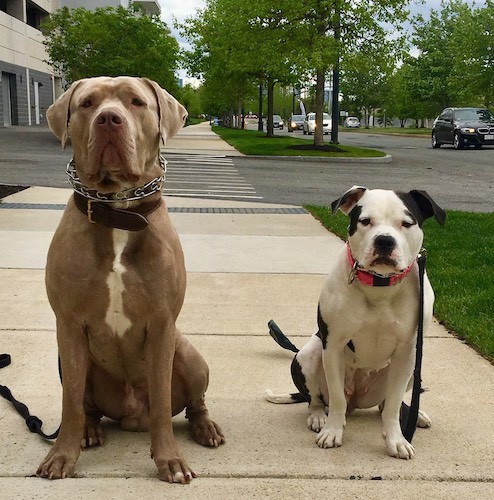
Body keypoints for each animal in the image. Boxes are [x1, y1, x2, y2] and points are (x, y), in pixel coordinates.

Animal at [268, 186, 446, 458]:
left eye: (407, 223)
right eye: (365, 221)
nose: (384, 241)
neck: (380, 285)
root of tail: (359, 400)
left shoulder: (408, 350)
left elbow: (393, 404)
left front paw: (396, 440)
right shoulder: (333, 345)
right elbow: (337, 398)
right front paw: (332, 432)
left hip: (415, 369)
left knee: (386, 404)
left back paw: (415, 415)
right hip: (309, 354)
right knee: (316, 400)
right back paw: (319, 417)